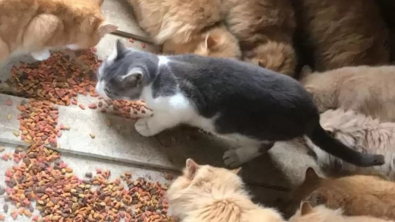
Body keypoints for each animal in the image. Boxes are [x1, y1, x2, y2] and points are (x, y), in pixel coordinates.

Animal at [94, 40, 386, 167]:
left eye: (108, 87)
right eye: (98, 75)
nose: (97, 88)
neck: (159, 71)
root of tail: (312, 113)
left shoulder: (179, 103)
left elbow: (162, 119)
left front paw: (146, 125)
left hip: (258, 128)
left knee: (266, 145)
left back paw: (238, 155)